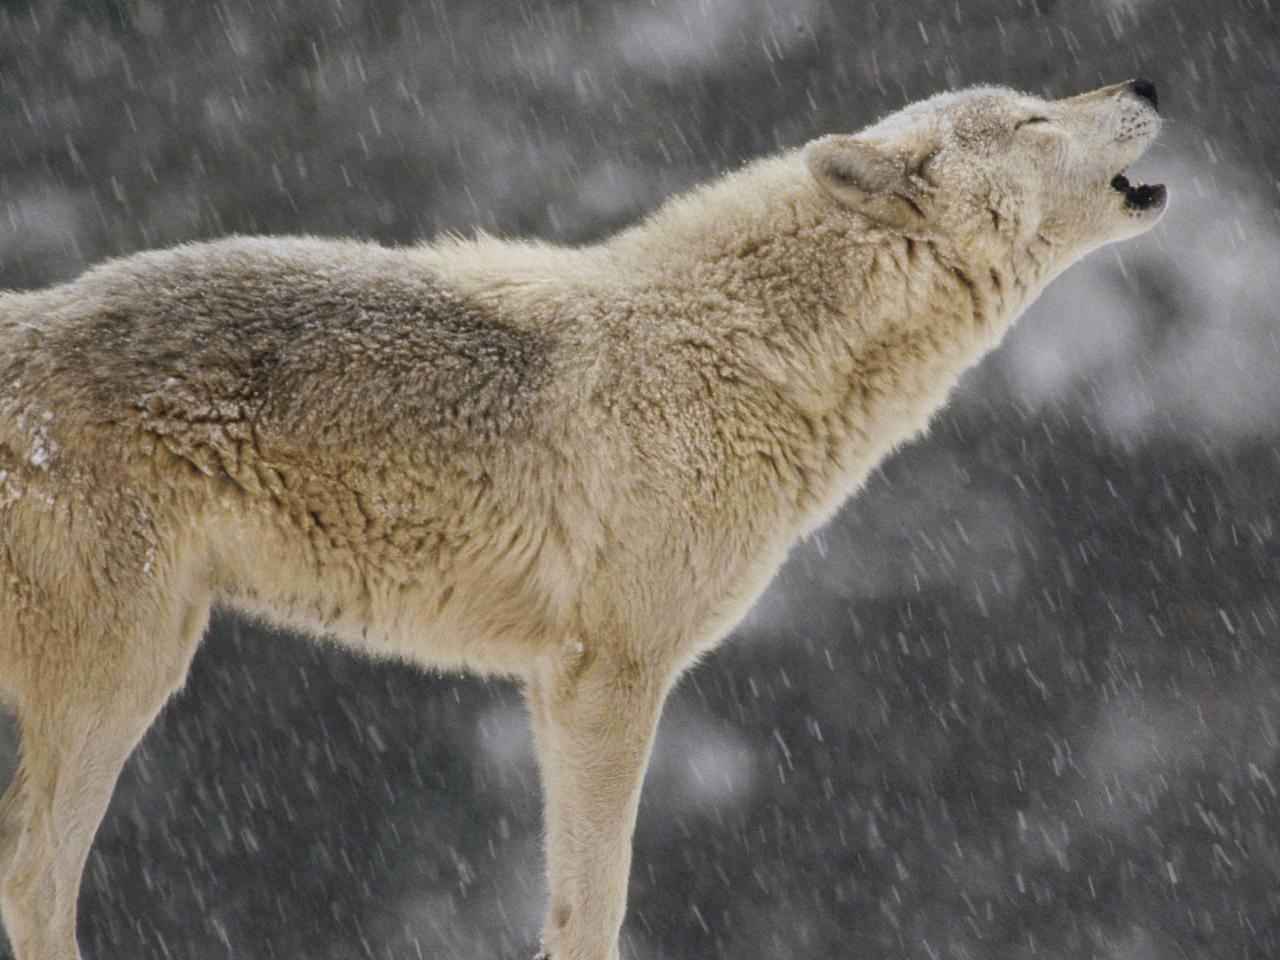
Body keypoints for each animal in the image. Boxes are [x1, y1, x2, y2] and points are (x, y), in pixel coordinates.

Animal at [0, 82, 1167, 960]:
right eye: (1032, 119)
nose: (1148, 84)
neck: (746, 350)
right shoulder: (609, 676)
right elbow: (597, 904)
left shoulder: (558, 683)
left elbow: (571, 904)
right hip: (125, 677)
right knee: (33, 879)